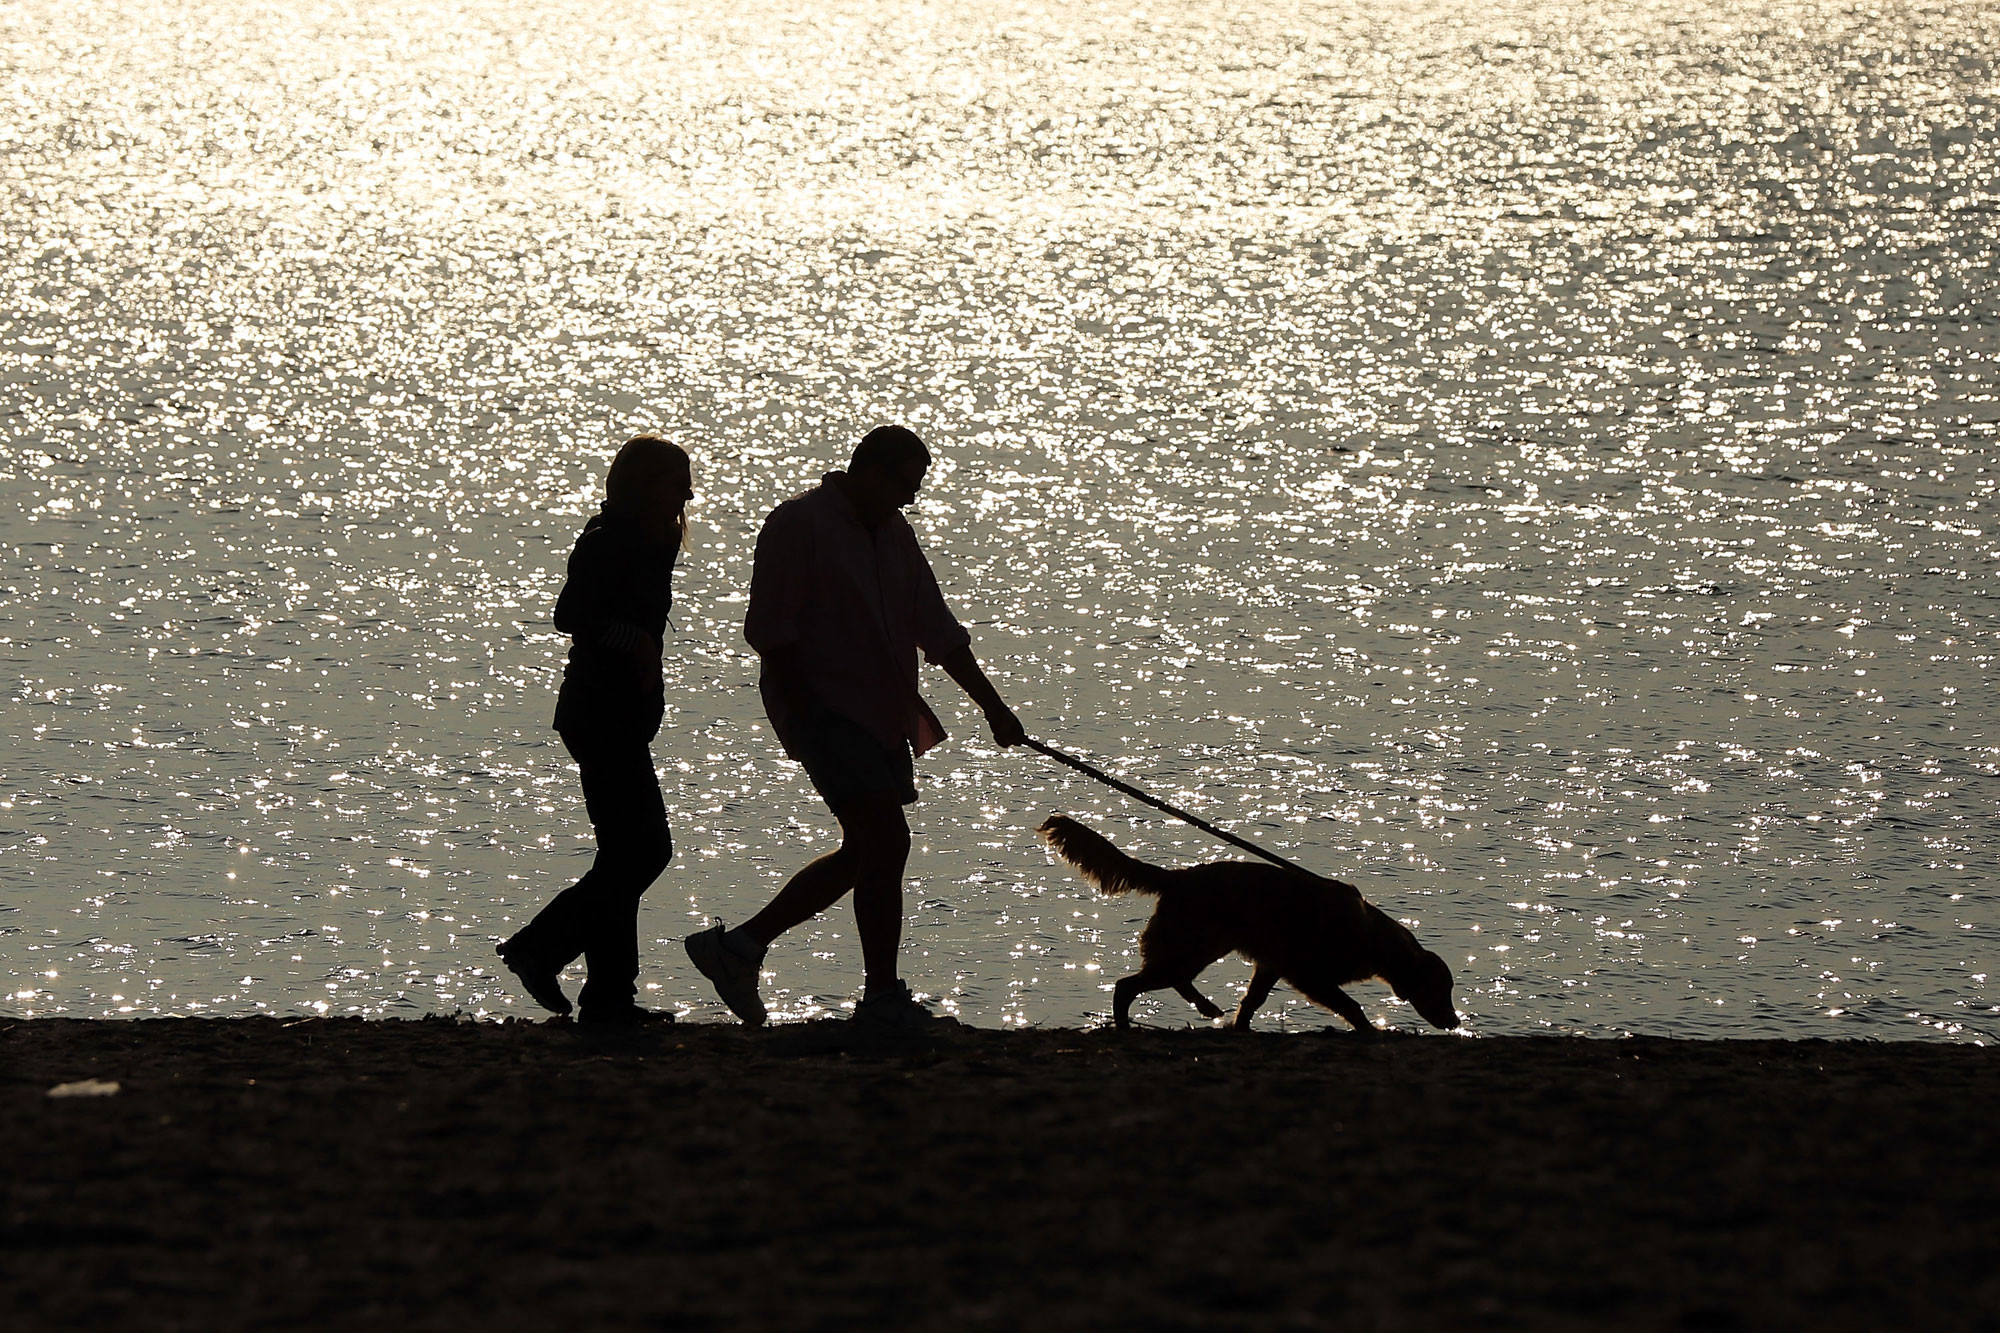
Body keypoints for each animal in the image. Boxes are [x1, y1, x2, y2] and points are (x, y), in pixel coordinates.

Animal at [1048, 808, 1456, 1024]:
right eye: (1440, 988)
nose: (1455, 1022)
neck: (1371, 935)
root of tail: (1177, 876)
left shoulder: (1271, 964)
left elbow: (1252, 1002)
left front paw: (1240, 1026)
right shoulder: (1307, 974)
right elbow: (1350, 1005)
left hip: (1201, 946)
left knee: (1171, 978)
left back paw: (1206, 1006)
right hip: (1192, 945)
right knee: (1127, 985)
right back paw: (1125, 1024)